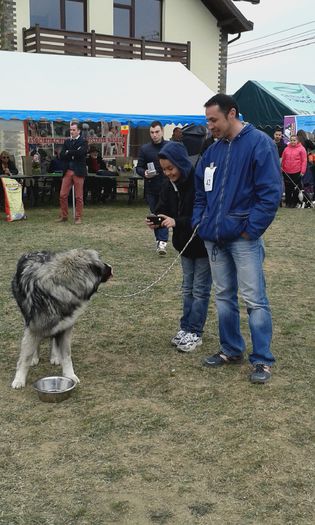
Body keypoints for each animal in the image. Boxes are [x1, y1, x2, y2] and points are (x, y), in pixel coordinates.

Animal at [11, 248, 113, 386]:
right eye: (101, 262)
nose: (111, 267)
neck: (62, 286)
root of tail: (34, 251)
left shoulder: (66, 328)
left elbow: (66, 356)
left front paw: (70, 375)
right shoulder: (33, 328)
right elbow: (25, 358)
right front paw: (19, 379)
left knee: (53, 339)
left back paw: (54, 356)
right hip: (27, 319)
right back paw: (35, 357)